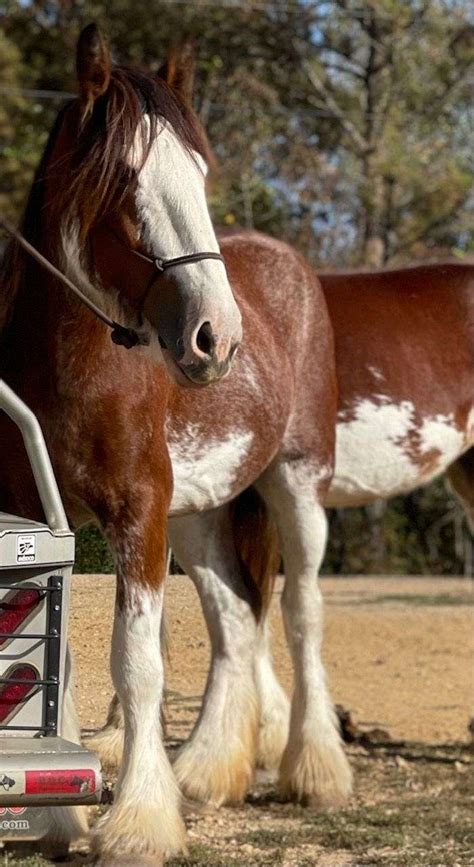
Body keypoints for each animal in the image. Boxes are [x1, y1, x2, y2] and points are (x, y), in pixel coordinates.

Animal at [0, 23, 342, 864]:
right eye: (126, 178)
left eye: (200, 170)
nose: (216, 337)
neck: (76, 364)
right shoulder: (48, 514)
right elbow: (64, 651)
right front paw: (69, 815)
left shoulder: (137, 511)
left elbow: (137, 664)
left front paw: (138, 821)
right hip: (199, 516)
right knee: (235, 619)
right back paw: (208, 768)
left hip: (296, 486)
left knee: (301, 613)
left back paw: (315, 770)